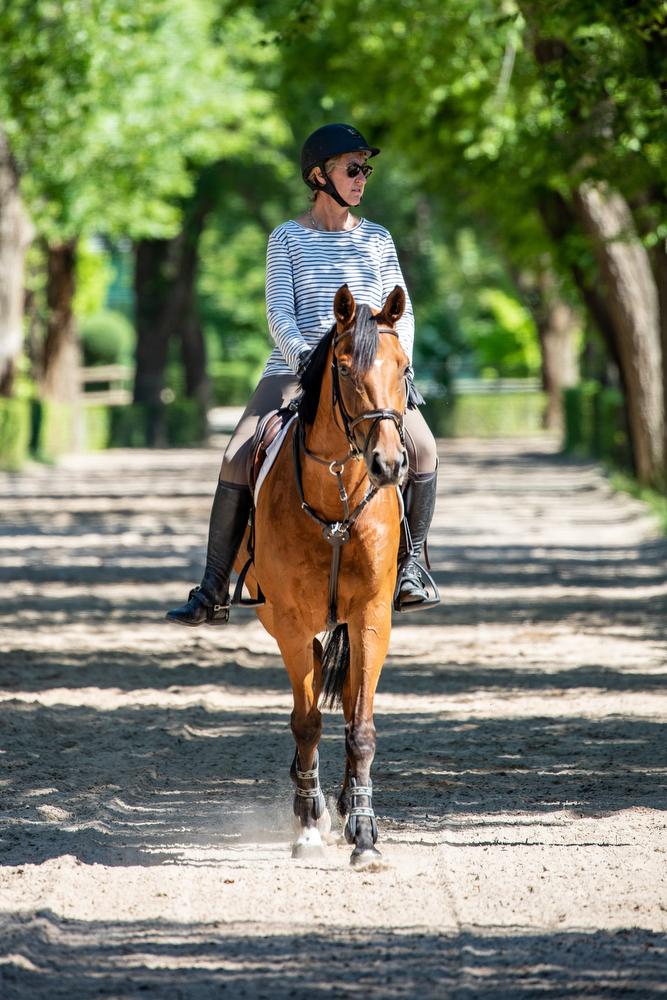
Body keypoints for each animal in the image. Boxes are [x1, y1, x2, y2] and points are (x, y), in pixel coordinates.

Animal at [240, 284, 408, 868]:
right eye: (345, 367)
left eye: (404, 367)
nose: (388, 465)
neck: (335, 496)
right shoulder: (290, 620)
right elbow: (307, 720)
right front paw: (309, 825)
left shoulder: (372, 617)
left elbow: (361, 726)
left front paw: (365, 833)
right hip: (282, 621)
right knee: (309, 684)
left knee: (349, 689)